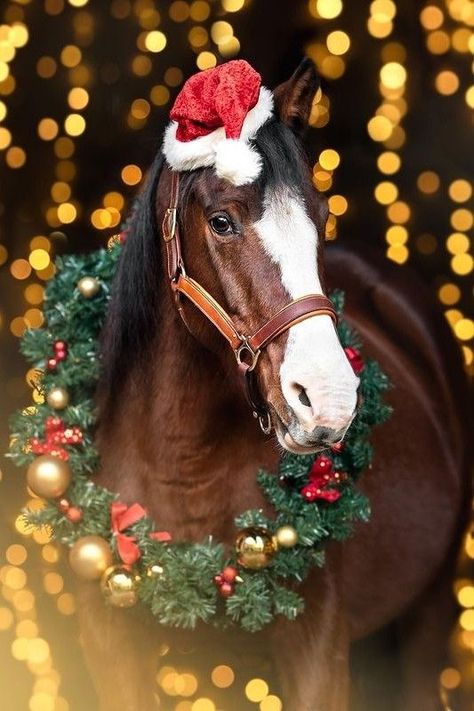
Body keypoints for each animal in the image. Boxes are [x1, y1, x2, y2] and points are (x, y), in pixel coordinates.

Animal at [74, 61, 470, 711]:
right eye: (222, 221)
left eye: (322, 218)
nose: (328, 399)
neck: (184, 467)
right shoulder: (111, 648)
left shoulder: (316, 649)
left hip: (429, 613)